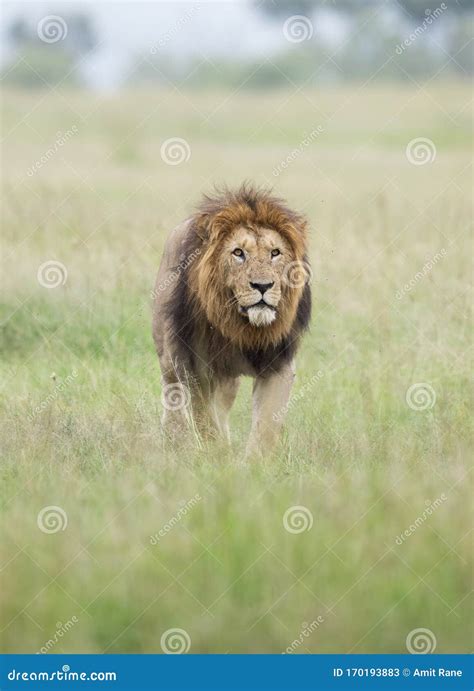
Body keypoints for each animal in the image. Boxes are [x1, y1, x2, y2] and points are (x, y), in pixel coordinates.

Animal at [152, 184, 312, 456]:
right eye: (239, 253)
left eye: (275, 253)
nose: (263, 285)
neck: (243, 326)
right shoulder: (195, 367)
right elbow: (205, 419)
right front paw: (218, 456)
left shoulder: (278, 363)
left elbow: (266, 423)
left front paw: (253, 462)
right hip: (169, 357)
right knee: (173, 397)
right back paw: (174, 441)